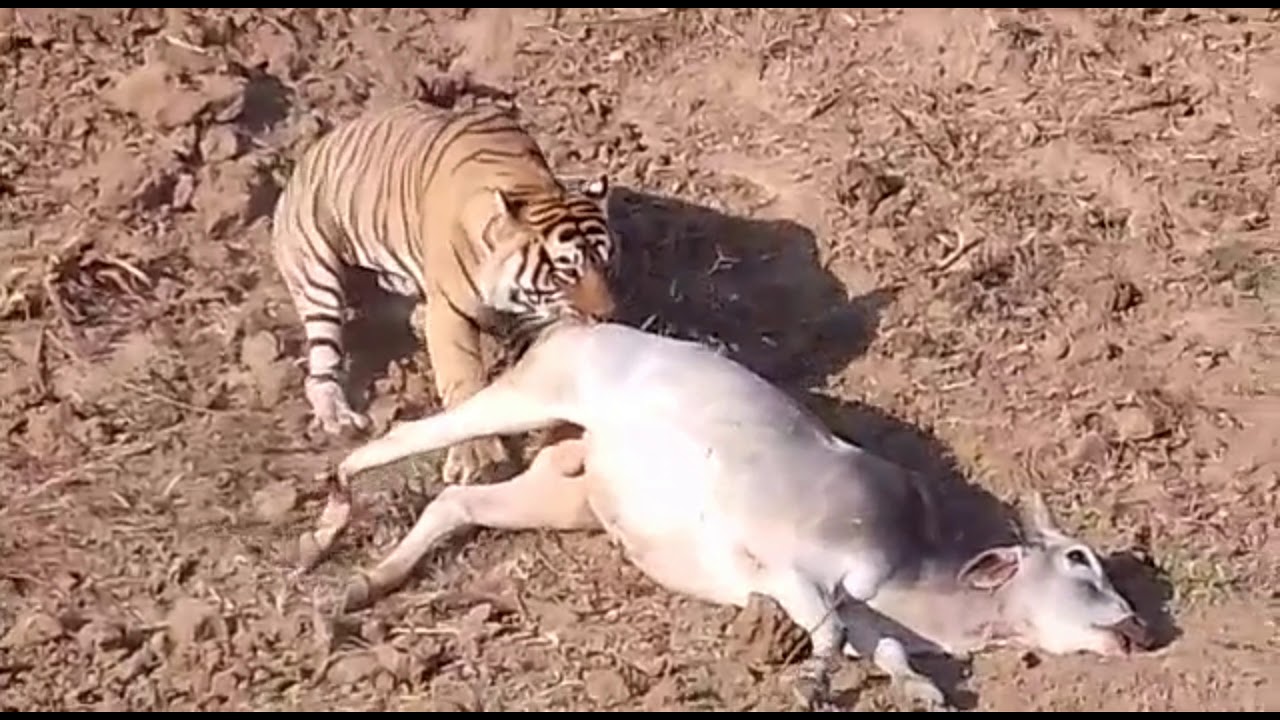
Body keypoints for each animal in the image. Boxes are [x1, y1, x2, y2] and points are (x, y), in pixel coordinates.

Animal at [270, 101, 619, 486]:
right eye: (566, 273)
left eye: (606, 265)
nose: (607, 314)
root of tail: (312, 151)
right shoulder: (452, 312)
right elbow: (462, 378)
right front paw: (478, 457)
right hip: (316, 273)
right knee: (319, 367)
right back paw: (339, 417)